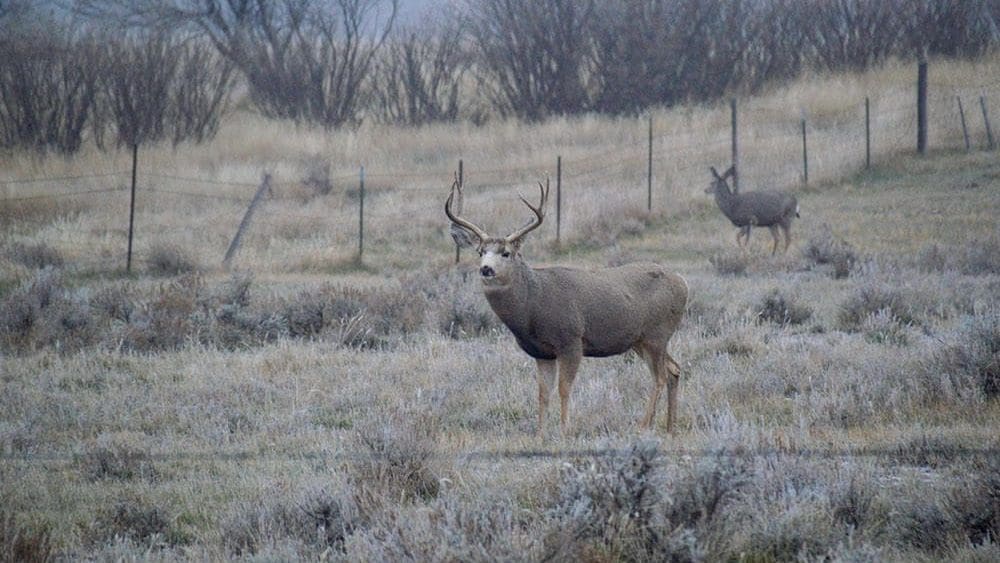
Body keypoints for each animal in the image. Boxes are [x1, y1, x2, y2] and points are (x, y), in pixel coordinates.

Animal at [445, 176, 689, 436]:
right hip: (640, 340)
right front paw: (540, 434)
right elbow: (543, 393)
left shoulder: (571, 340)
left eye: (506, 253)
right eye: (480, 251)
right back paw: (670, 428)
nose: (486, 269)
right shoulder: (541, 352)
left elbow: (564, 388)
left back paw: (643, 426)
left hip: (657, 333)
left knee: (660, 377)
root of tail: (683, 283)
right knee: (674, 369)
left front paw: (564, 431)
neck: (533, 305)